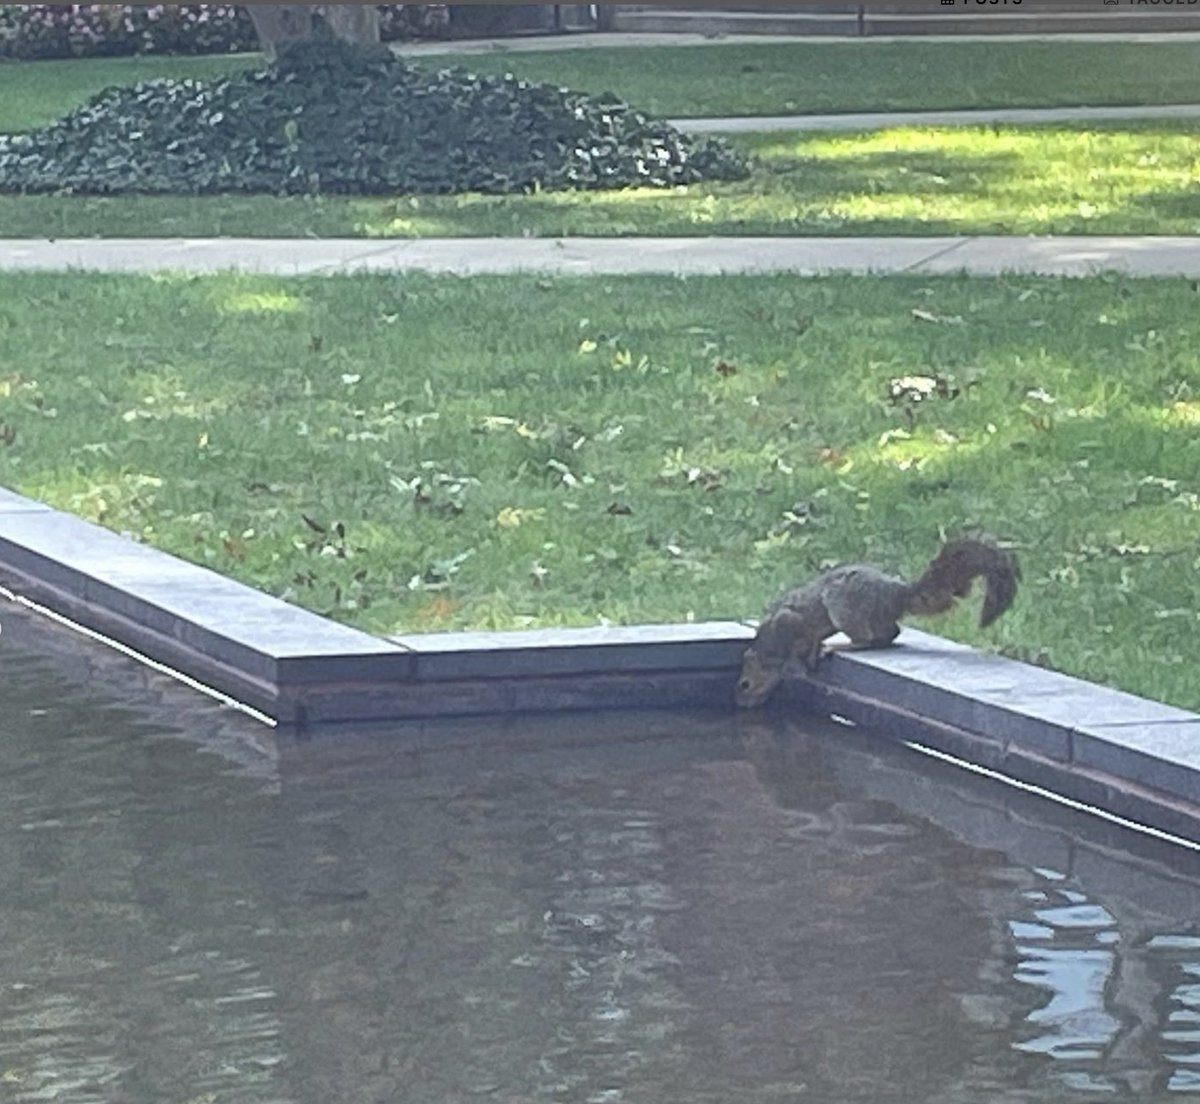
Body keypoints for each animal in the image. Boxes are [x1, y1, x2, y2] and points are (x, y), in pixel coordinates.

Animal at [736, 536, 1019, 708]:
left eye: (745, 684)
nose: (743, 704)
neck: (770, 645)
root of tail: (895, 595)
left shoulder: (790, 622)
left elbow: (805, 640)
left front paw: (808, 658)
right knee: (890, 633)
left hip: (844, 608)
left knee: (872, 639)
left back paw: (842, 646)